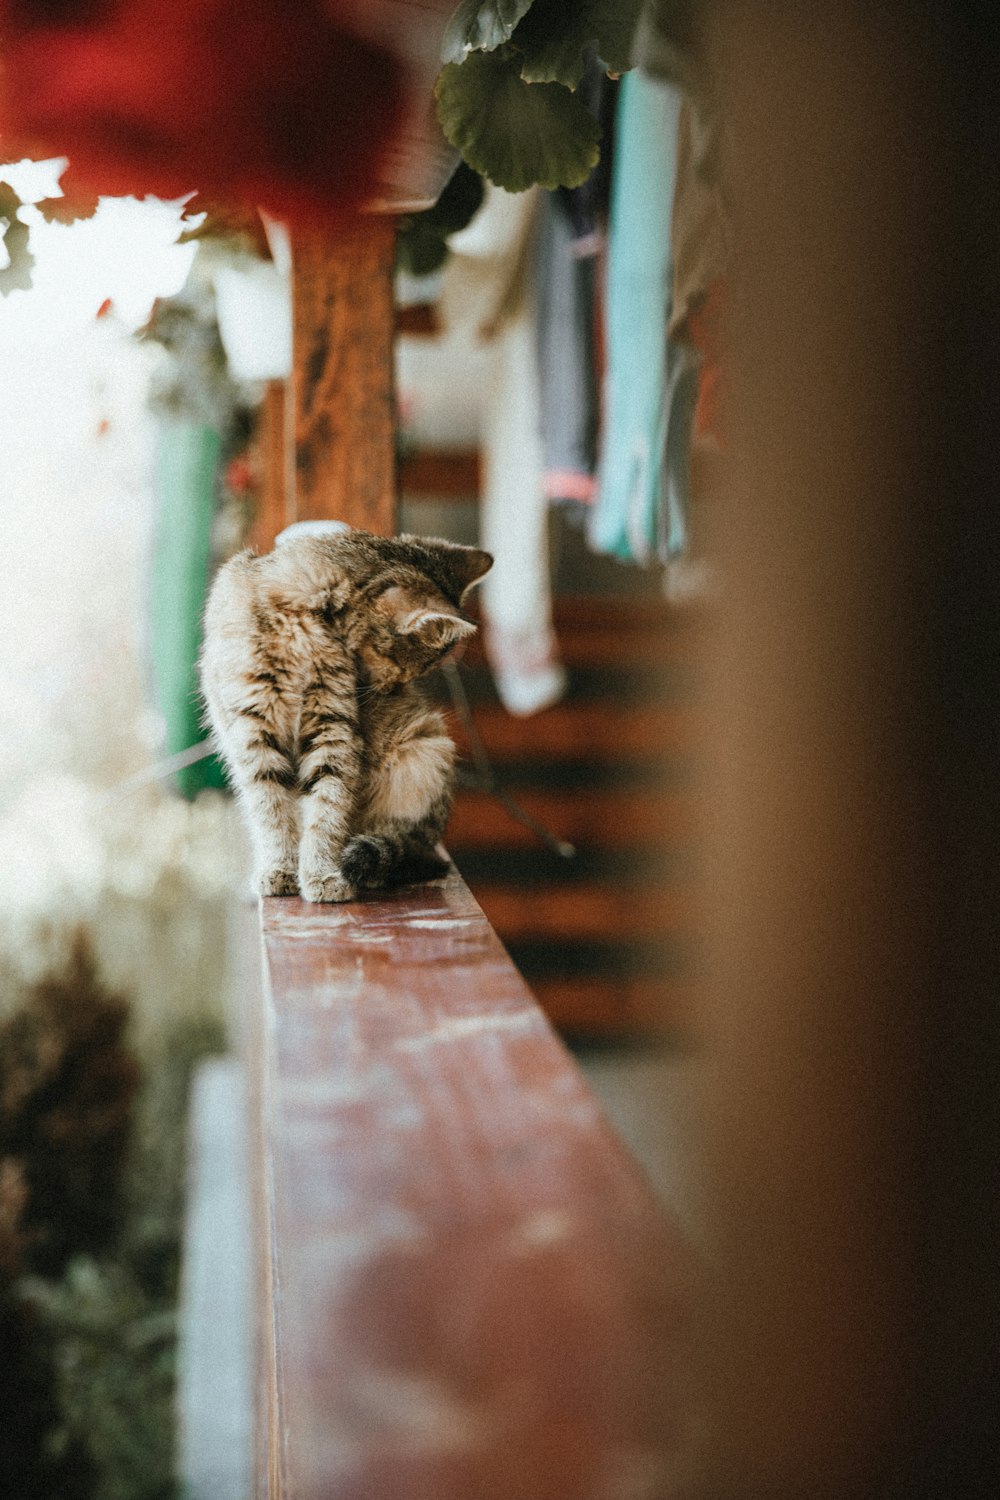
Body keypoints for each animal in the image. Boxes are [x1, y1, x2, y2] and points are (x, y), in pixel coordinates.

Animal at [197, 528, 491, 900]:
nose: (393, 690)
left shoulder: (333, 729)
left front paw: (321, 873)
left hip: (428, 745)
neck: (302, 622)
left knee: (408, 842)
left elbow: (328, 807)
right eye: (407, 668)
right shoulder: (254, 730)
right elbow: (272, 810)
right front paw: (280, 868)